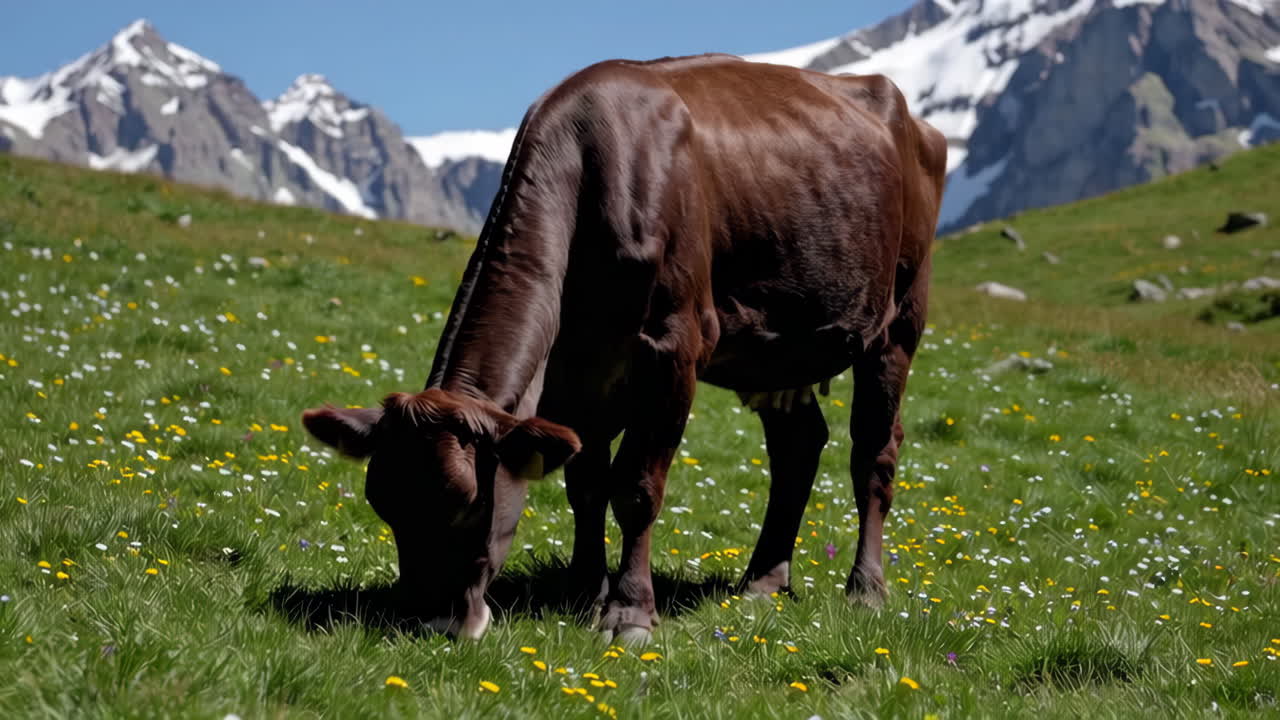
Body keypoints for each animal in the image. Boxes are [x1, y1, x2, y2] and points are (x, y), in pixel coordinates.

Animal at [301, 54, 947, 642]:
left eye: (467, 502)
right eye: (383, 502)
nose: (429, 621)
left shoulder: (673, 349)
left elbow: (636, 487)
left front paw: (630, 613)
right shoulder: (574, 370)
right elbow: (583, 483)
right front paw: (585, 593)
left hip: (899, 319)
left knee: (873, 454)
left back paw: (866, 589)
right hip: (778, 348)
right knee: (798, 446)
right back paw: (762, 582)